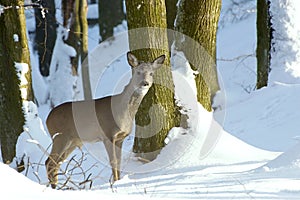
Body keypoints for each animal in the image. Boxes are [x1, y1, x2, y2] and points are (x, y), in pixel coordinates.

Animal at [45, 52, 164, 189]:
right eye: (138, 72)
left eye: (151, 73)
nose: (145, 83)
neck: (122, 111)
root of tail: (47, 118)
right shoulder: (108, 134)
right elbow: (113, 161)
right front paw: (114, 183)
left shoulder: (120, 138)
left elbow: (119, 161)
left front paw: (119, 181)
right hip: (60, 136)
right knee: (50, 162)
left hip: (73, 140)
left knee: (55, 162)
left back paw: (56, 186)